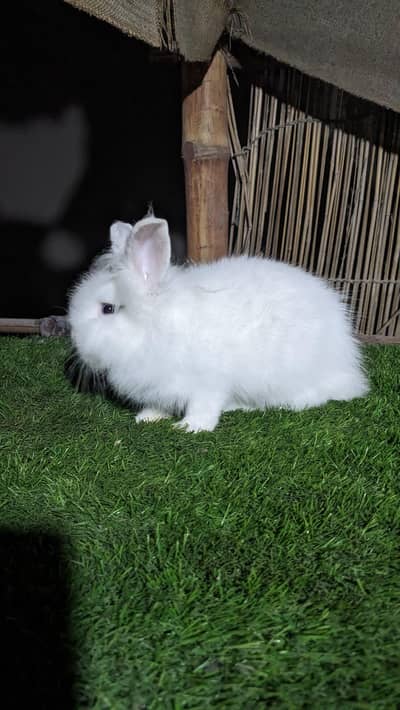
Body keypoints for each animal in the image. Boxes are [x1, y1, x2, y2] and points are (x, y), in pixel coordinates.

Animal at [68, 213, 369, 432]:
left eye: (108, 309)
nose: (76, 341)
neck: (153, 327)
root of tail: (348, 363)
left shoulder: (208, 383)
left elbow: (203, 406)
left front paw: (190, 427)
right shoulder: (160, 388)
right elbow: (160, 405)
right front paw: (147, 417)